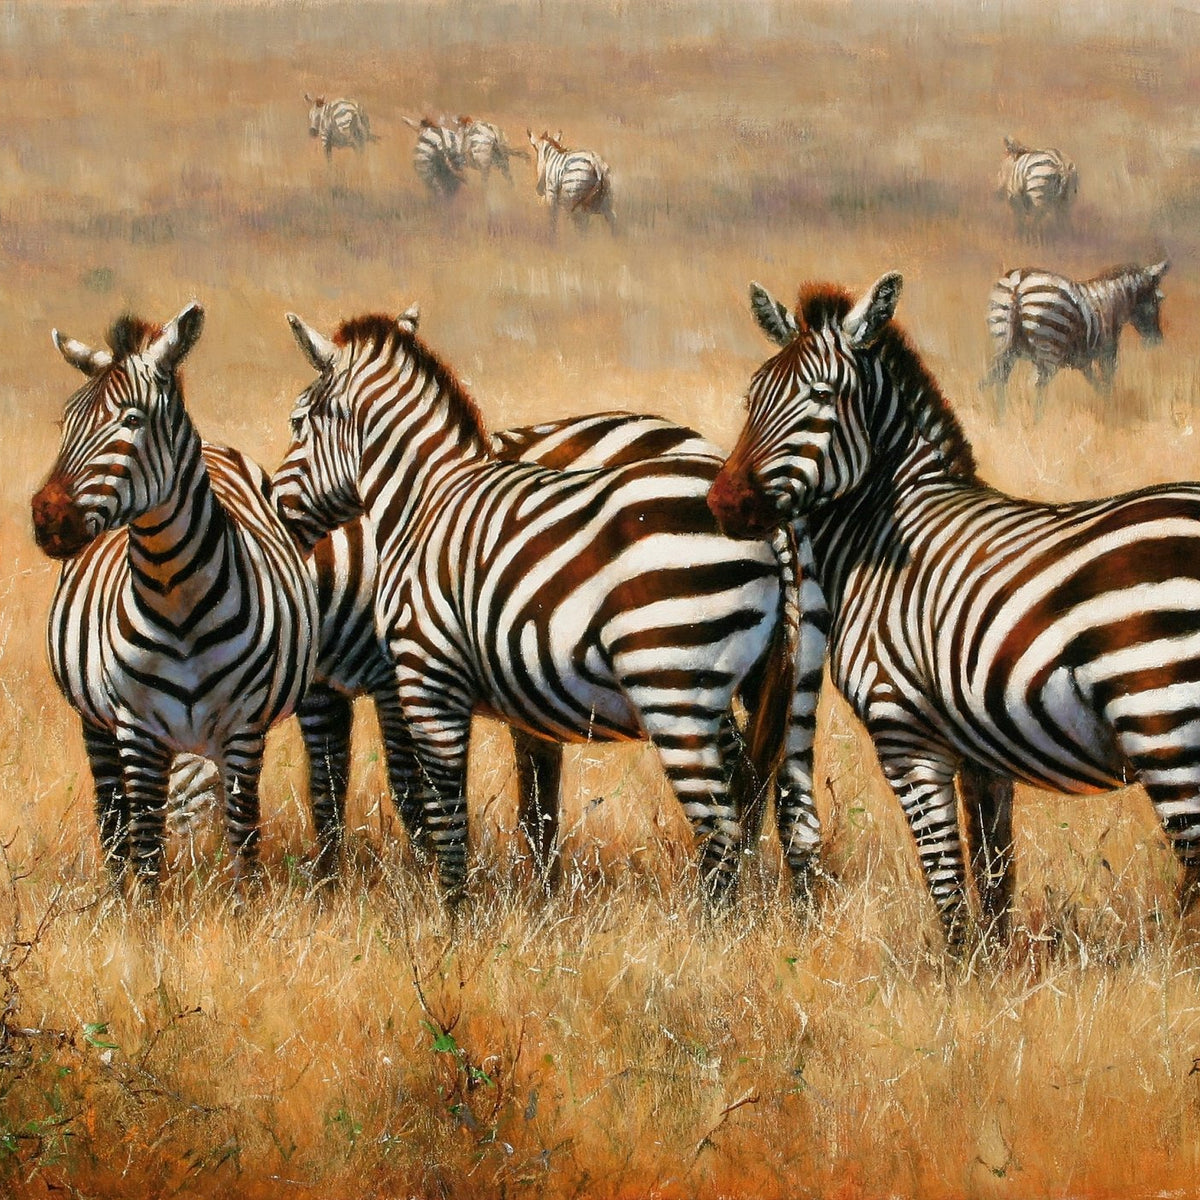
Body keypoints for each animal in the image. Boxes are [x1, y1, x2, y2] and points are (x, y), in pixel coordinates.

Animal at [31, 305, 318, 891]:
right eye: (65, 424)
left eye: (131, 421)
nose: (47, 519)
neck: (174, 596)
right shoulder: (135, 729)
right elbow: (143, 842)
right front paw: (142, 912)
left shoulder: (243, 729)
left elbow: (242, 838)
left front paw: (242, 906)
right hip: (98, 726)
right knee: (112, 814)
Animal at [273, 306, 818, 906]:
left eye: (296, 423)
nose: (275, 506)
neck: (425, 500)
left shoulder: (420, 674)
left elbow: (433, 807)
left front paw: (447, 914)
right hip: (764, 677)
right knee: (777, 797)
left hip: (671, 679)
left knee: (721, 822)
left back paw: (709, 925)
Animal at [983, 261, 1169, 412]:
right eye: (1157, 300)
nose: (1157, 340)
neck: (1110, 305)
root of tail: (1018, 282)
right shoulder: (1107, 354)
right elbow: (1107, 385)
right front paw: (1111, 413)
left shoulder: (1083, 361)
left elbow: (1098, 386)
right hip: (1049, 346)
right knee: (1036, 385)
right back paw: (1036, 423)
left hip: (1004, 339)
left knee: (1000, 380)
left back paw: (1002, 420)